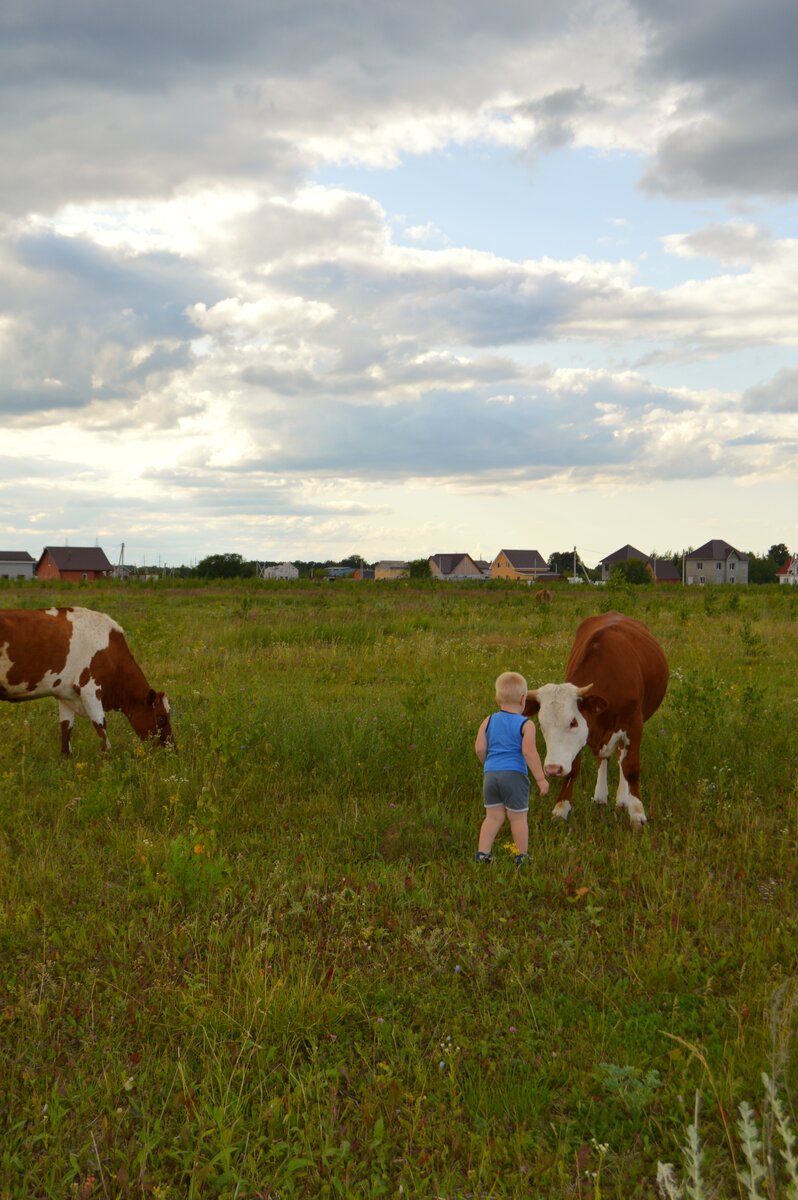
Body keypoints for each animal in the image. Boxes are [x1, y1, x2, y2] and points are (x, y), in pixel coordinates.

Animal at [0, 604, 172, 753]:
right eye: (161, 718)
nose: (171, 748)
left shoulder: (65, 694)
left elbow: (66, 730)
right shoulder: (90, 689)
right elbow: (101, 727)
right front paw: (108, 761)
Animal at [523, 609, 667, 825]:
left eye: (573, 722)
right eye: (541, 725)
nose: (553, 768)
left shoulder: (634, 725)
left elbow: (631, 768)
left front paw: (637, 813)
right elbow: (574, 768)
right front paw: (561, 808)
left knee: (621, 758)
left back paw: (622, 799)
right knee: (605, 757)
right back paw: (601, 796)